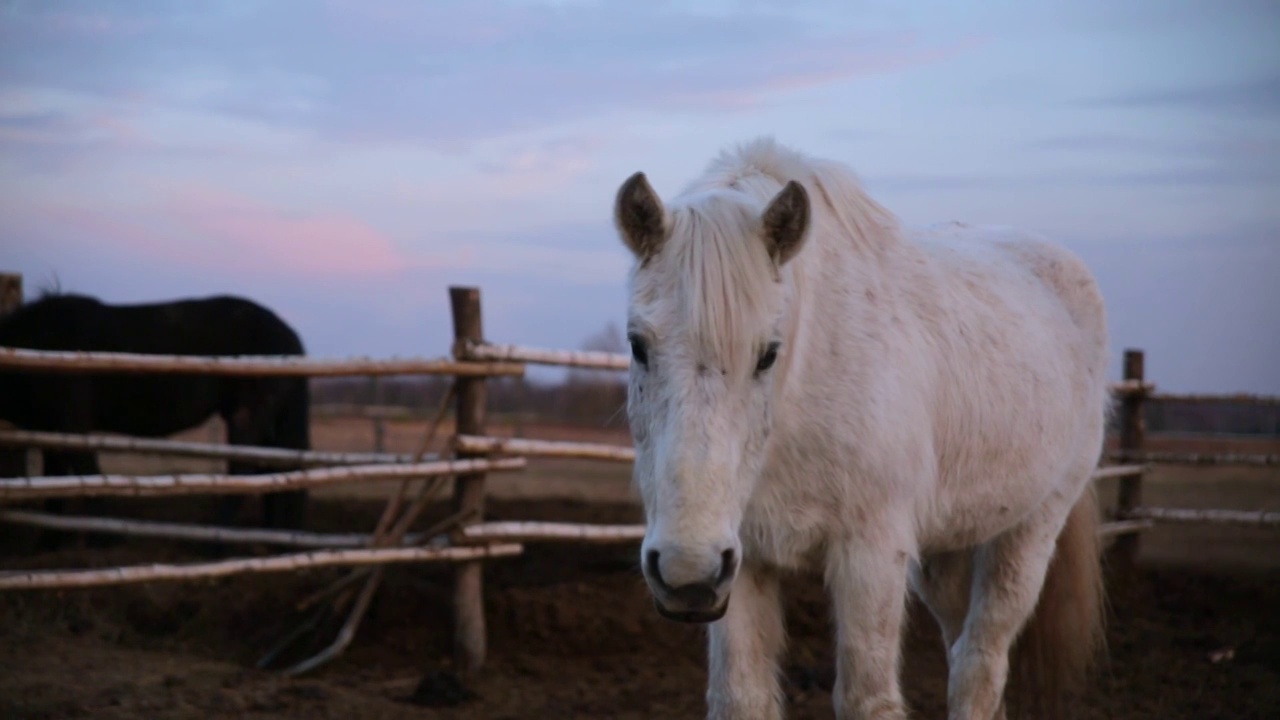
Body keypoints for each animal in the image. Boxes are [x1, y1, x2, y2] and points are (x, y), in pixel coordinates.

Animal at [0, 289, 309, 532]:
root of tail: (291, 339)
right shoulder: (47, 432)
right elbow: (54, 489)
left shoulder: (71, 425)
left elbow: (88, 478)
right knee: (272, 473)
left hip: (246, 417)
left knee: (243, 474)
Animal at [614, 135, 1105, 717]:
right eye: (638, 345)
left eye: (768, 354)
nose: (687, 572)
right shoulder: (743, 564)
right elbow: (741, 696)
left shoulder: (870, 556)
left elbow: (867, 697)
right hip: (943, 554)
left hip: (1029, 534)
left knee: (979, 665)